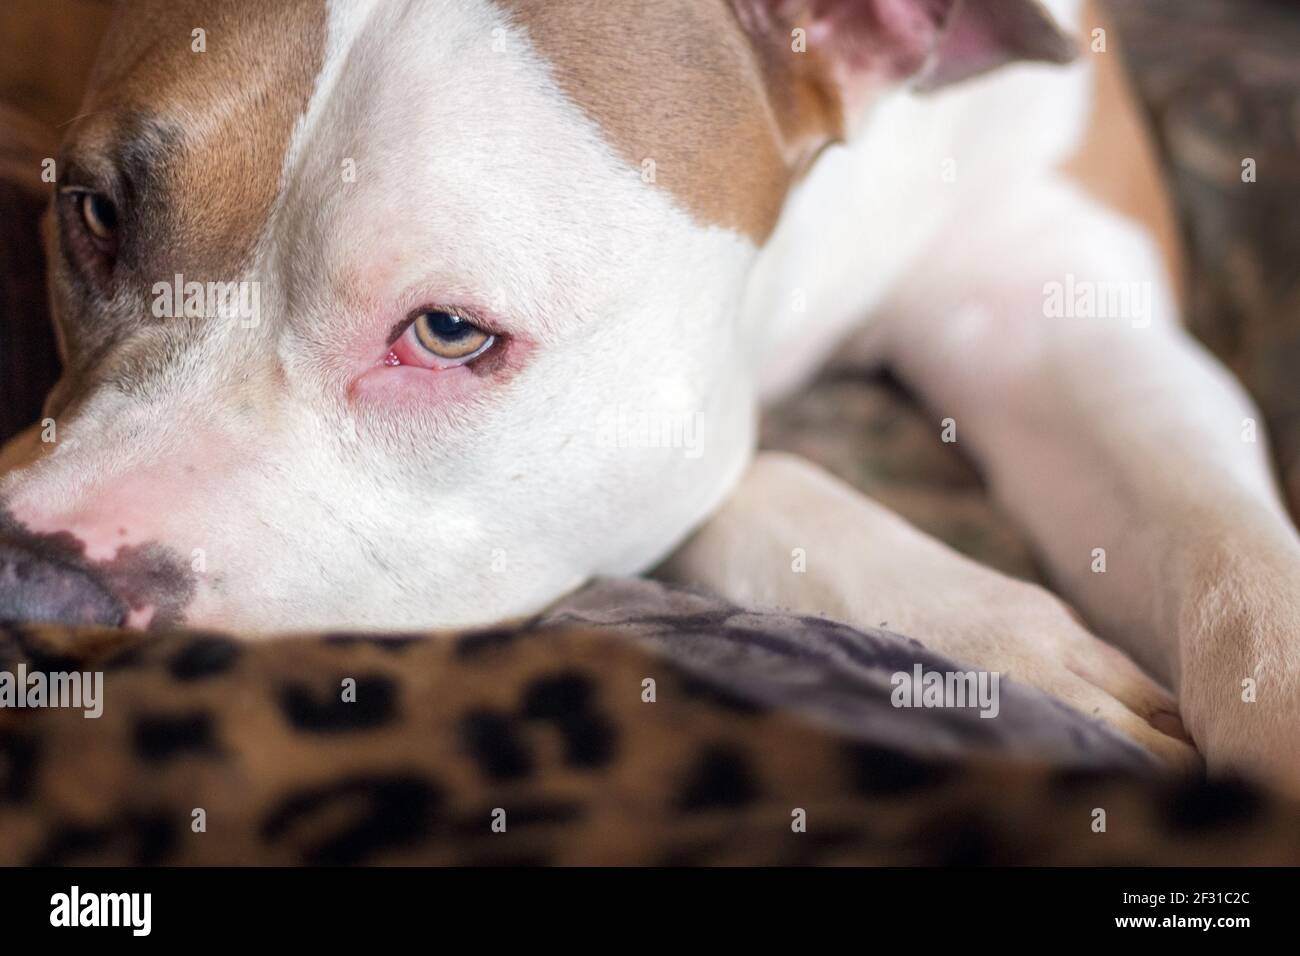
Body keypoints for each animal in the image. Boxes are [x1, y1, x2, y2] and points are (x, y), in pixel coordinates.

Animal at [0, 0, 1294, 790]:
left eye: (449, 333)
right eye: (95, 213)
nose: (34, 583)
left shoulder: (1050, 297)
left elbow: (1232, 545)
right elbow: (744, 466)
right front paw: (991, 636)